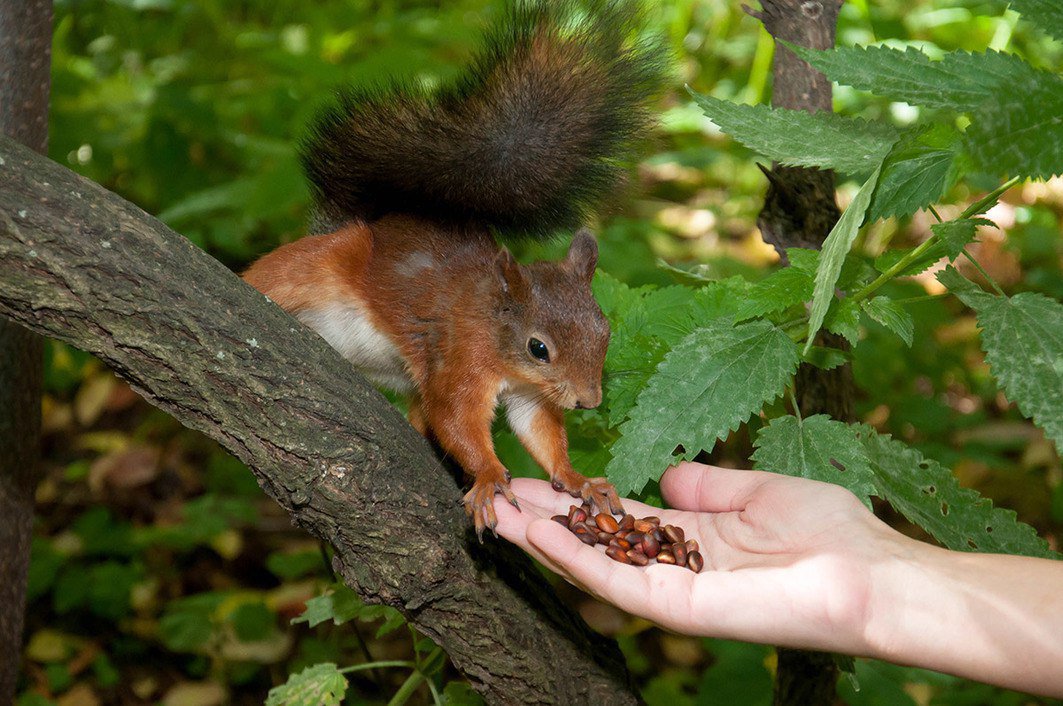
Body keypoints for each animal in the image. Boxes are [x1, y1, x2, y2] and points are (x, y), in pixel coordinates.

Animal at [243, 1, 663, 540]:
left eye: (604, 331)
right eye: (538, 348)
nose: (589, 402)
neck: (496, 332)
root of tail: (372, 224)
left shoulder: (530, 394)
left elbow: (539, 431)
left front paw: (577, 479)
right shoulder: (460, 357)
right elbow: (456, 418)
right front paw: (487, 476)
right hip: (321, 260)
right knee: (278, 274)